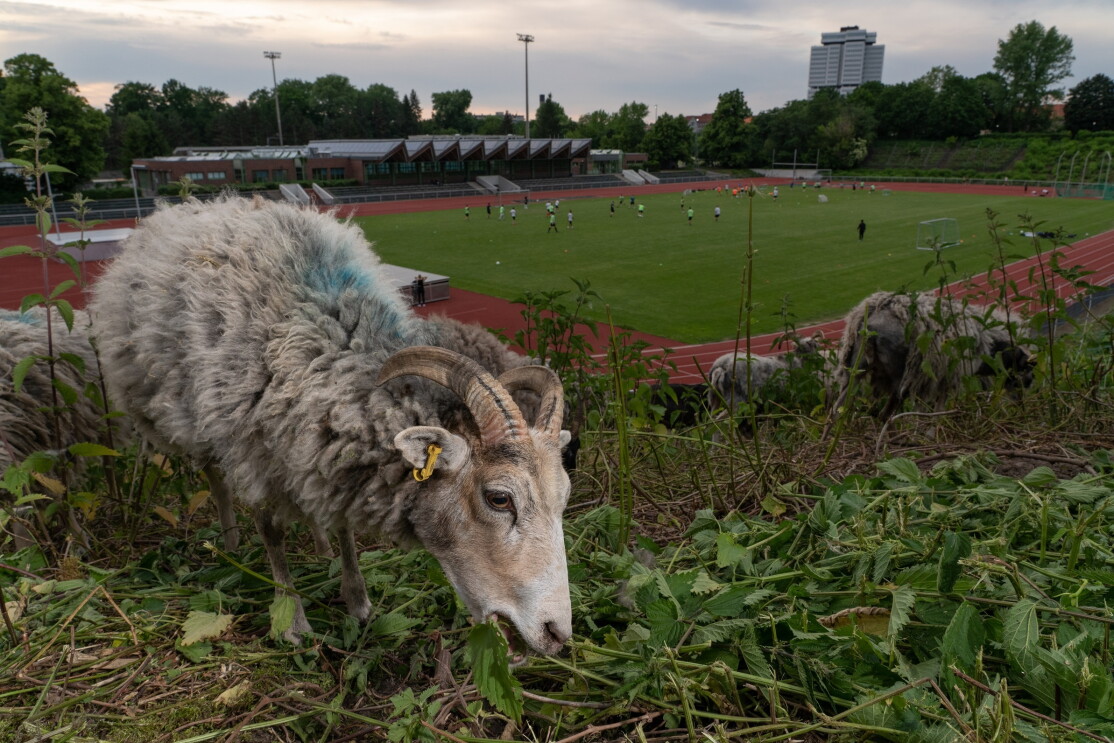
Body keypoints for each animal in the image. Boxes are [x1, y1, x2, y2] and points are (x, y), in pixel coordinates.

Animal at [89, 196, 573, 657]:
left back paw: (318, 543)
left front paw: (356, 600)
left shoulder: (326, 447)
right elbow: (271, 531)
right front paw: (291, 619)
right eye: (498, 498)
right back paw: (230, 539)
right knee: (214, 477)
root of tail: (197, 206)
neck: (322, 342)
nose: (558, 633)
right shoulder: (251, 448)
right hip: (187, 415)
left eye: (565, 496)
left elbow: (343, 525)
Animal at [831, 291, 1033, 418]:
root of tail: (871, 319)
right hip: (900, 375)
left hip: (854, 368)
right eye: (1023, 375)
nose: (1020, 406)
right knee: (885, 416)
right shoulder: (947, 378)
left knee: (838, 410)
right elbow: (936, 415)